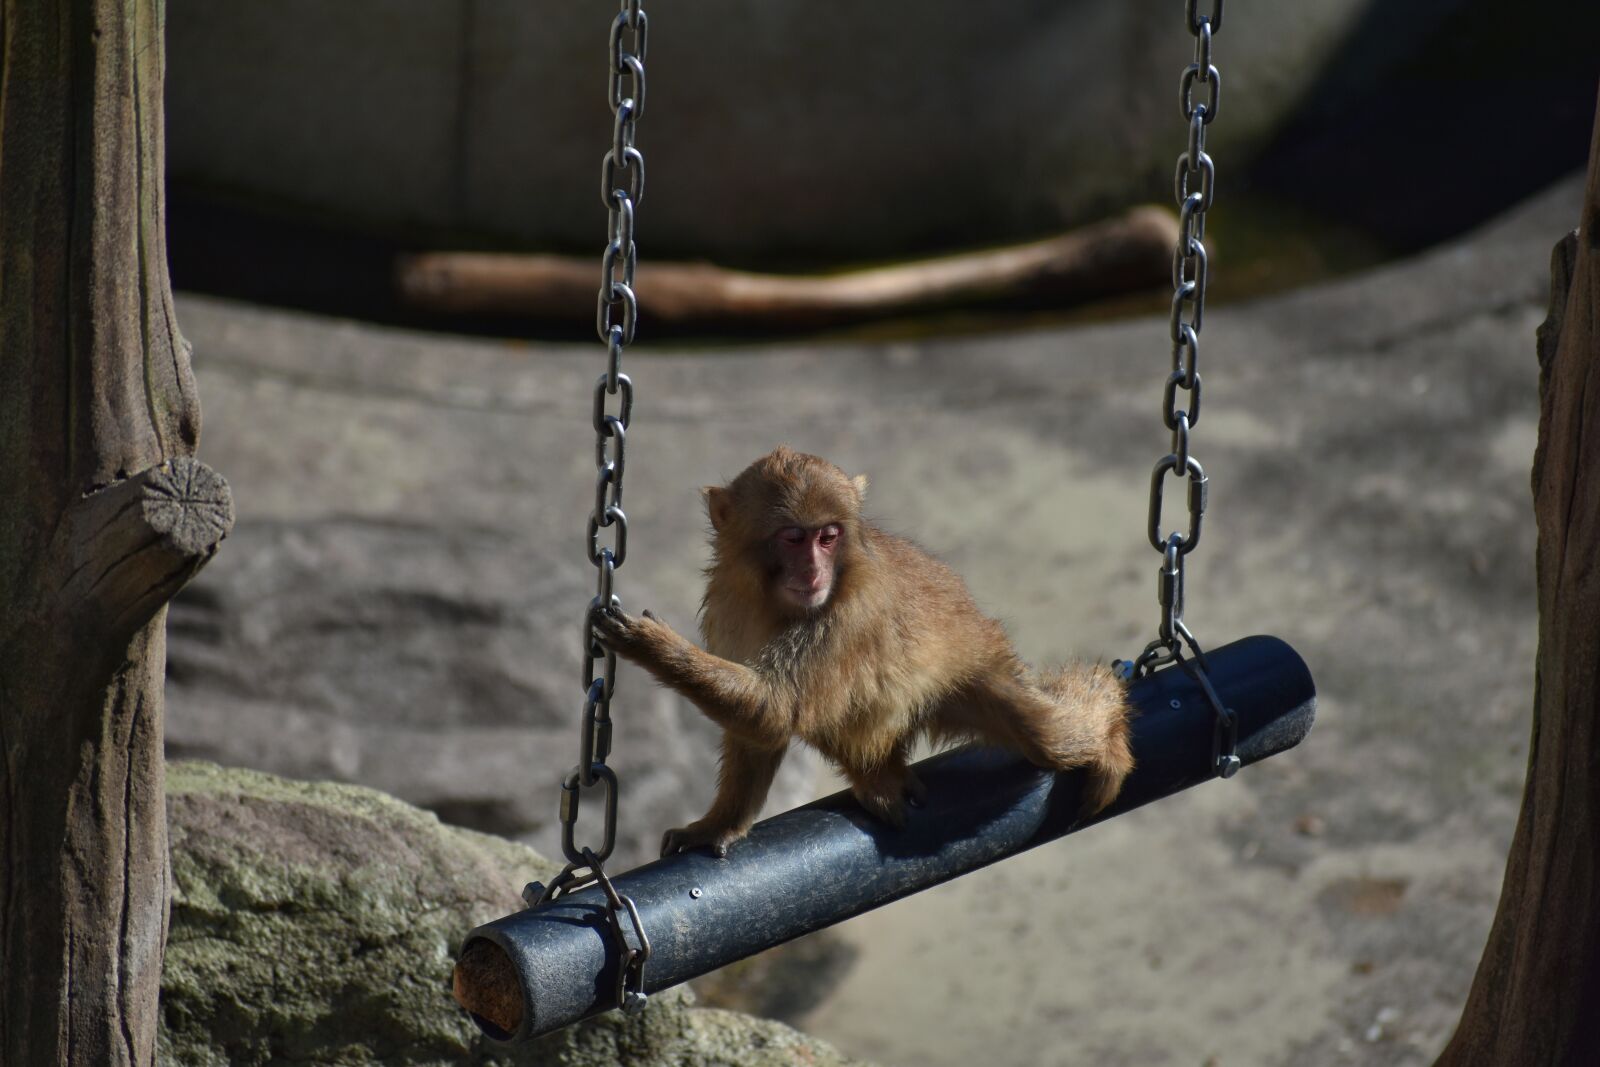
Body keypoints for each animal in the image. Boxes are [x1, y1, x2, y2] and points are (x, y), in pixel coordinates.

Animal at [591, 446, 1134, 858]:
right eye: (794, 537)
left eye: (828, 537)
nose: (814, 572)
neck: (776, 603)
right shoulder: (728, 605)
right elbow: (762, 732)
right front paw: (720, 824)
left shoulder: (847, 617)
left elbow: (773, 708)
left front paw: (650, 644)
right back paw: (875, 776)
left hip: (981, 675)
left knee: (1053, 736)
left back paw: (1108, 723)